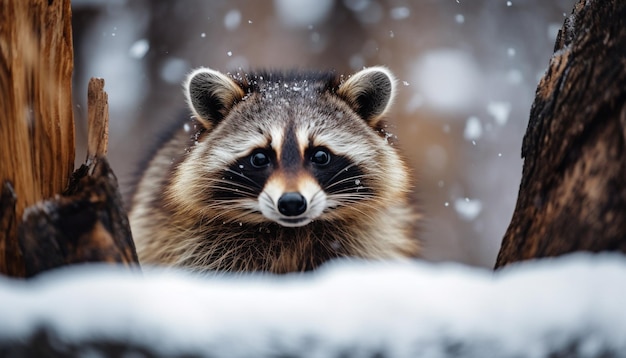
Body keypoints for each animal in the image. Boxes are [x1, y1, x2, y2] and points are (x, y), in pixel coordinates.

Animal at [127, 66, 420, 274]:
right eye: (259, 158)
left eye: (320, 155)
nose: (291, 203)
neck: (290, 232)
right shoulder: (190, 240)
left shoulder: (368, 237)